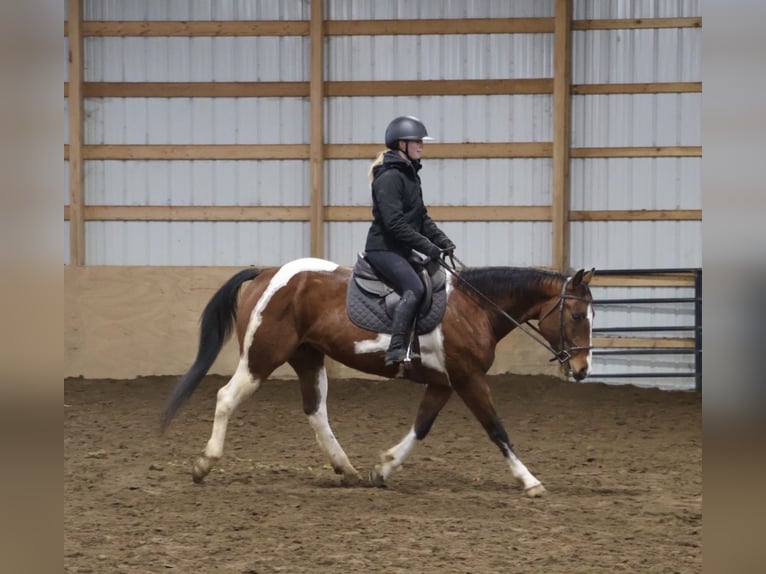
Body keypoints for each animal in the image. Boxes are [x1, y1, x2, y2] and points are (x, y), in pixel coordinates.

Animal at [161, 257, 595, 497]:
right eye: (576, 316)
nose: (582, 370)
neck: (475, 307)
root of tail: (268, 273)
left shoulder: (444, 382)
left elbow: (421, 427)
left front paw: (382, 469)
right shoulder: (468, 379)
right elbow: (497, 429)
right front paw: (530, 481)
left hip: (307, 358)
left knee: (315, 412)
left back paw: (347, 470)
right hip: (261, 357)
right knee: (226, 397)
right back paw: (204, 464)